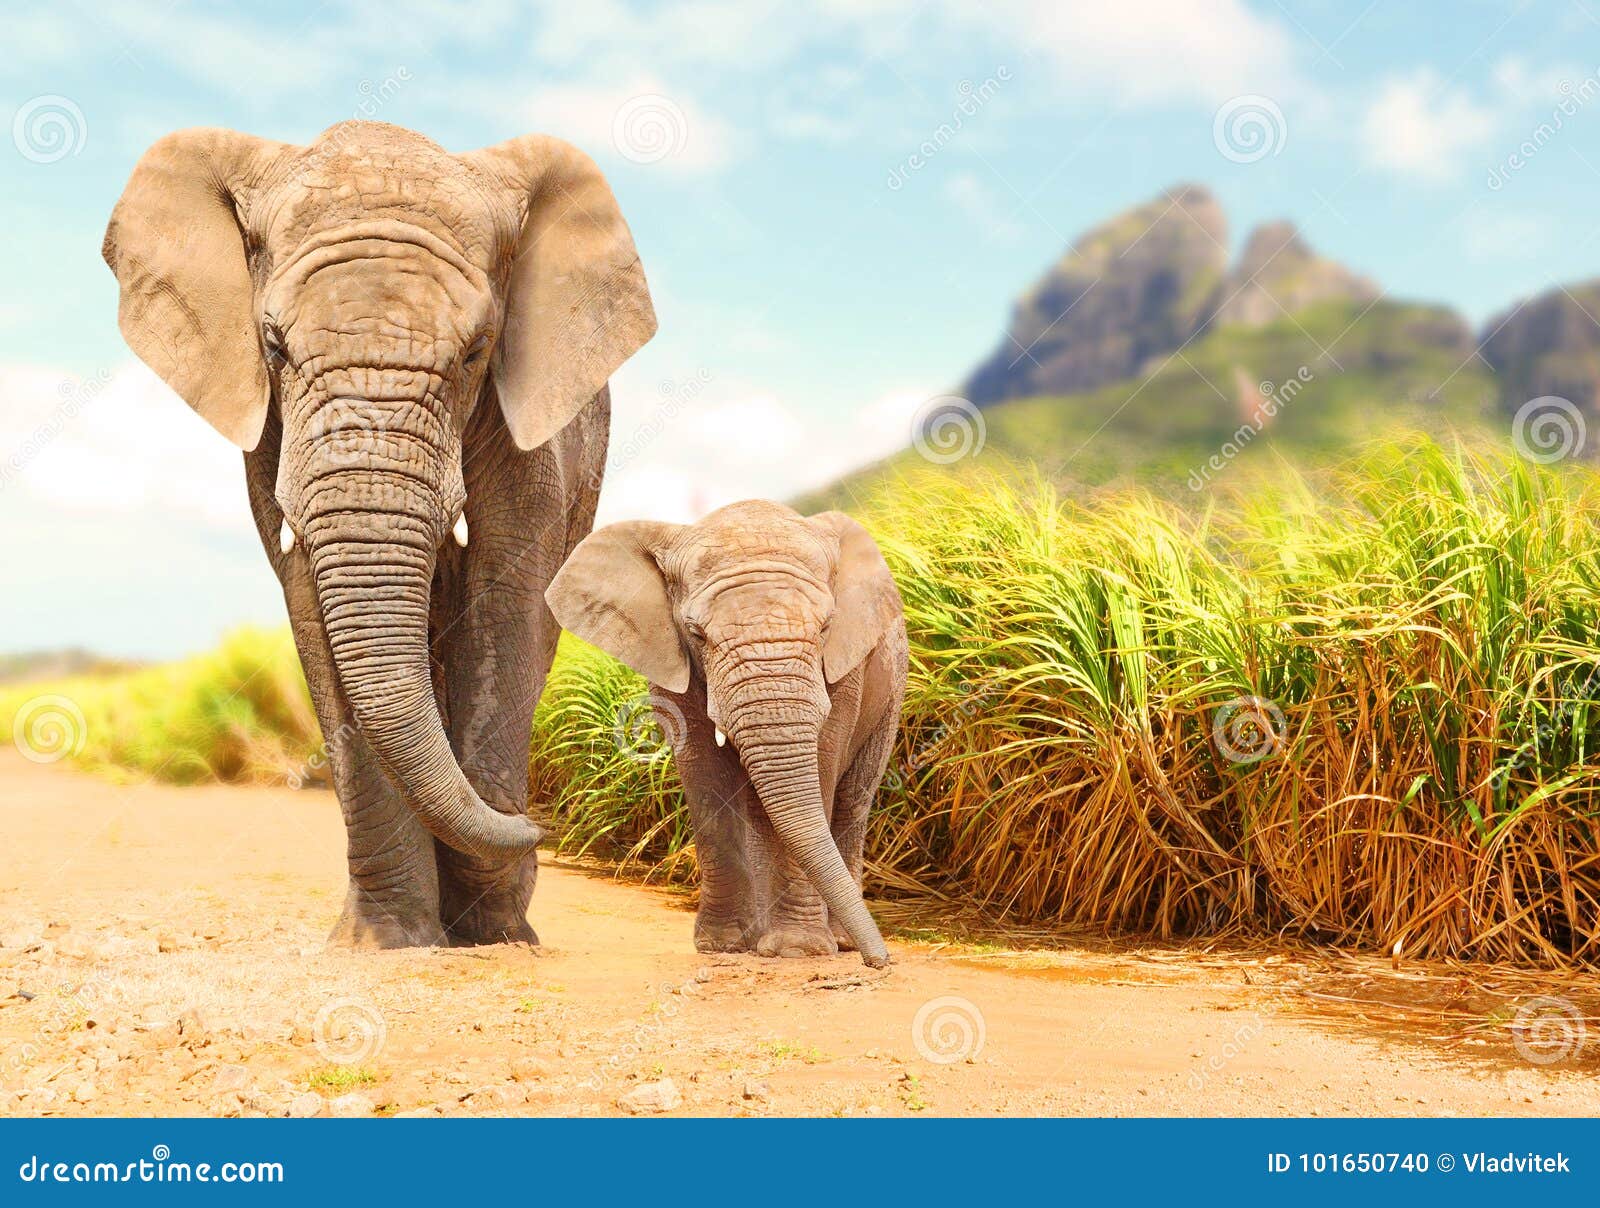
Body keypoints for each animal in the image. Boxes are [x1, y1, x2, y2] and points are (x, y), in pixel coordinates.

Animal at [101, 125, 656, 953]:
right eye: (273, 346)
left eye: (477, 350)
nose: (539, 825)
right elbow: (310, 602)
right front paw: (387, 942)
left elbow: (507, 594)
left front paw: (493, 932)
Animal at [547, 502, 902, 972]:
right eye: (697, 633)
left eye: (826, 627)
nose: (880, 962)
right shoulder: (672, 662)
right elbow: (706, 777)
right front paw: (724, 946)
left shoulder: (845, 670)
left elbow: (823, 767)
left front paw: (798, 951)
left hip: (892, 694)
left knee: (851, 802)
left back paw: (838, 941)